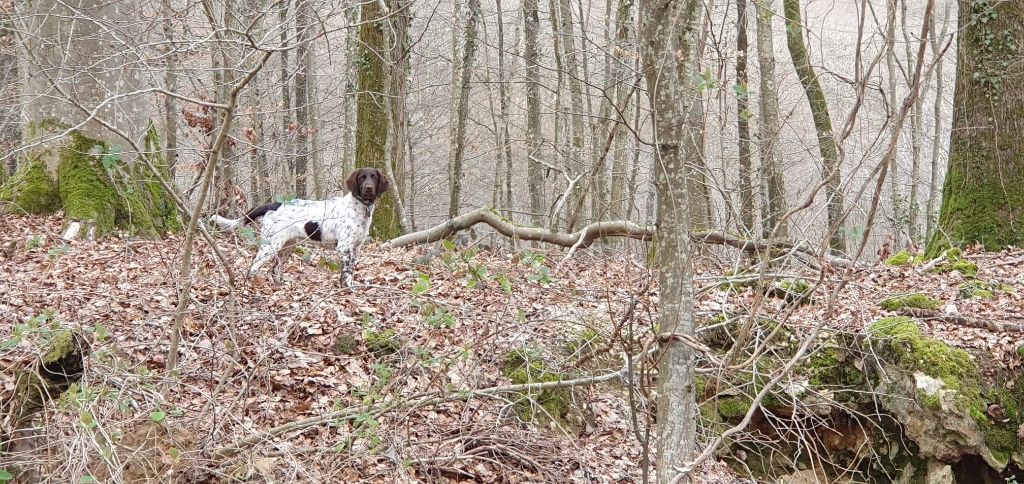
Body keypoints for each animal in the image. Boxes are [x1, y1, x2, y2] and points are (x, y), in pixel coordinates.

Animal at [209, 167, 389, 286]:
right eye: (362, 178)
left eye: (374, 177)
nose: (368, 188)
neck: (360, 207)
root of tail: (274, 205)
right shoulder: (344, 247)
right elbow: (348, 273)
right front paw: (348, 289)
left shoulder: (356, 247)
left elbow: (348, 271)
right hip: (270, 246)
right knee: (253, 267)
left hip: (287, 246)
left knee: (275, 269)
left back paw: (279, 287)